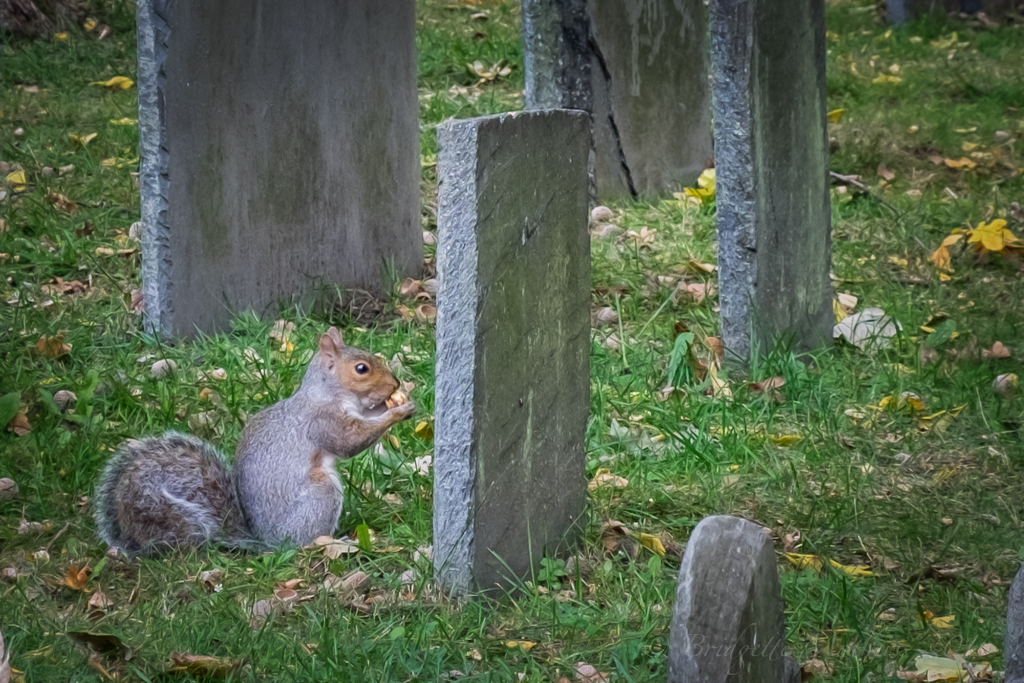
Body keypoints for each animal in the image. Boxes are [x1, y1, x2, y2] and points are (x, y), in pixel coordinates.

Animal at [93, 327, 417, 555]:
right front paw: (397, 411)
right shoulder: (322, 423)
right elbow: (350, 442)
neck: (326, 394)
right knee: (306, 539)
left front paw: (394, 403)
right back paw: (330, 542)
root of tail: (268, 543)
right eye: (361, 368)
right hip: (321, 494)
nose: (395, 384)